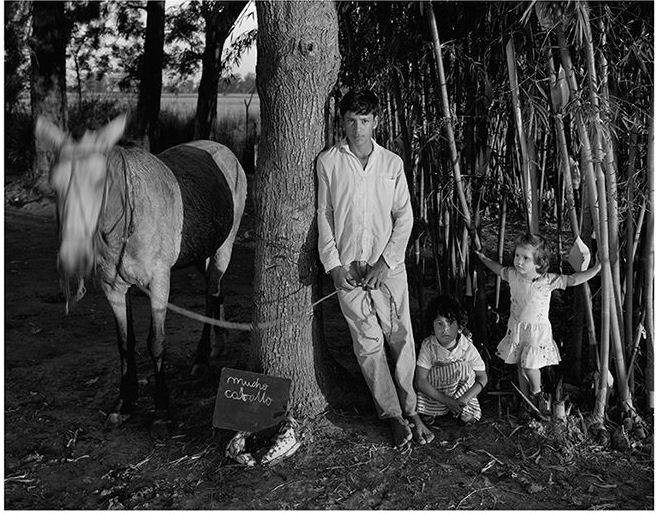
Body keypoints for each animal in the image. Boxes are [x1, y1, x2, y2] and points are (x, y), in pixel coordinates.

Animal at [36, 114, 247, 434]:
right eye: (54, 184)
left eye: (99, 181)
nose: (73, 257)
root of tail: (225, 150)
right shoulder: (113, 288)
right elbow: (125, 343)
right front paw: (124, 402)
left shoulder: (159, 282)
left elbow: (155, 342)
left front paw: (161, 410)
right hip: (201, 252)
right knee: (215, 291)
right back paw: (219, 342)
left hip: (225, 245)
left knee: (212, 291)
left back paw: (201, 357)